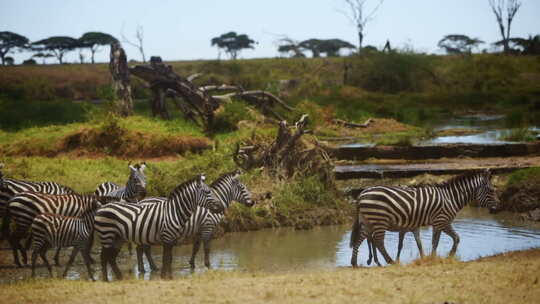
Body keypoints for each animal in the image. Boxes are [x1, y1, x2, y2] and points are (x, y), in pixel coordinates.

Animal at [94, 173, 223, 280]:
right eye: (208, 192)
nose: (221, 206)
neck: (174, 212)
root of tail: (102, 207)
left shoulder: (172, 240)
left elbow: (169, 258)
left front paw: (169, 277)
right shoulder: (167, 237)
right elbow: (165, 259)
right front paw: (164, 277)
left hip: (118, 238)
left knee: (111, 257)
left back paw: (119, 277)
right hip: (107, 235)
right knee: (104, 257)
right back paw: (106, 279)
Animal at [350, 171, 502, 266]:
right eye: (491, 190)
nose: (498, 208)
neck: (450, 198)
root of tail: (362, 194)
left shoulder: (443, 222)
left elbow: (453, 238)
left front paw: (447, 256)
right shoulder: (441, 221)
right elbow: (437, 242)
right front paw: (436, 258)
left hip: (368, 220)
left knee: (360, 239)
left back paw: (355, 263)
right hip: (379, 219)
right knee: (378, 241)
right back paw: (390, 261)